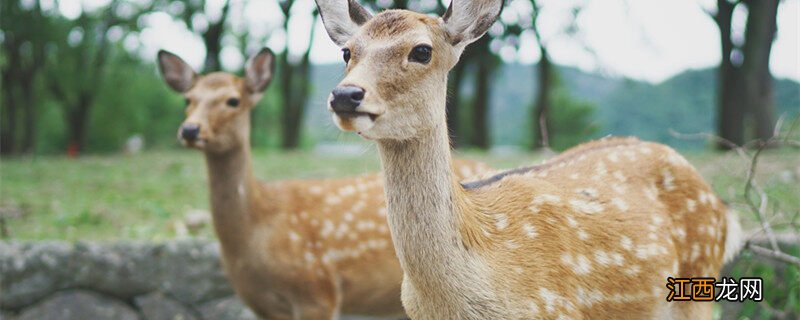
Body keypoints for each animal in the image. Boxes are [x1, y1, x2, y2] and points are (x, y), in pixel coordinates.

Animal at [316, 1, 748, 318]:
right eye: (347, 51)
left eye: (422, 50)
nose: (346, 95)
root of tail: (723, 209)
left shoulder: (555, 308)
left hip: (698, 285)